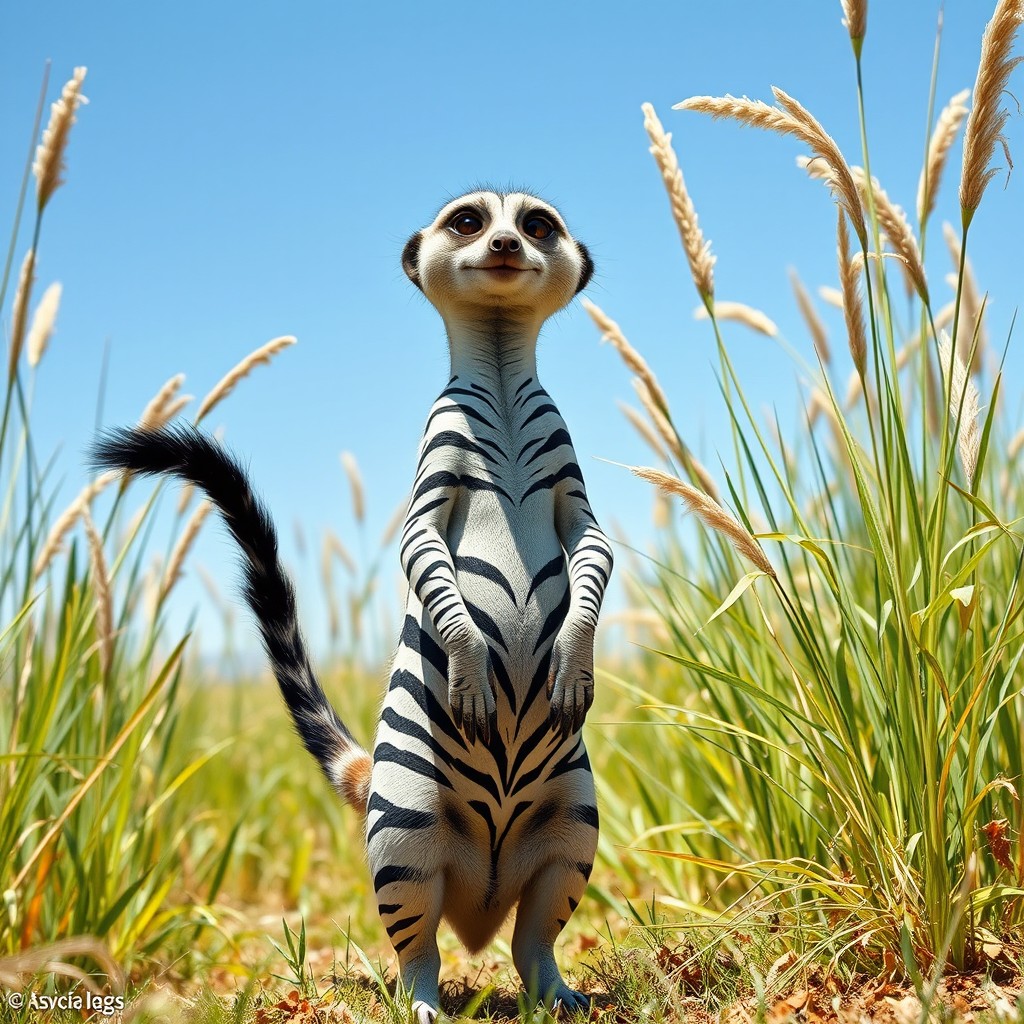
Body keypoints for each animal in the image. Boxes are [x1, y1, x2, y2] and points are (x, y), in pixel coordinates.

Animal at [92, 189, 613, 1021]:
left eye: (536, 226)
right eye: (469, 221)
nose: (505, 244)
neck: (502, 387)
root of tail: (481, 895)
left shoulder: (570, 479)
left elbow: (594, 550)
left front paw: (573, 656)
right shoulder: (435, 474)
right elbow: (425, 556)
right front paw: (470, 665)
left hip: (572, 820)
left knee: (535, 931)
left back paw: (554, 989)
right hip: (408, 825)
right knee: (418, 942)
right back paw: (424, 997)